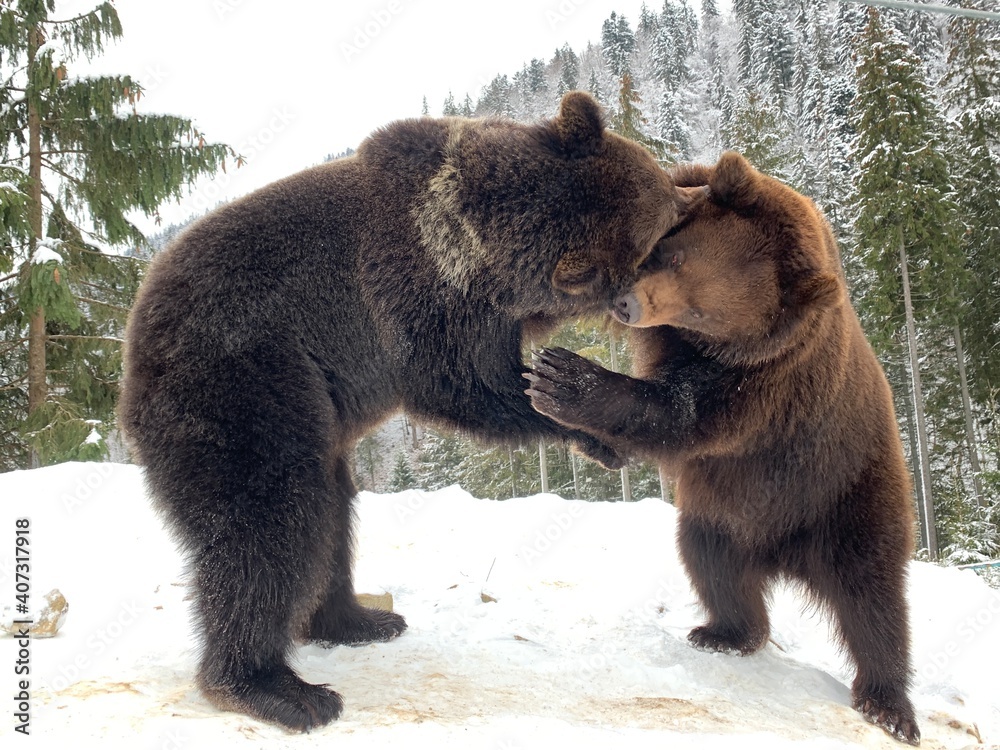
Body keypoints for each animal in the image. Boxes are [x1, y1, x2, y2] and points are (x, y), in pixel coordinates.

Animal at [118, 91, 701, 731]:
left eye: (660, 189)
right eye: (661, 227)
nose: (694, 189)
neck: (483, 253)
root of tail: (131, 347)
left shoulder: (494, 312)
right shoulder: (423, 303)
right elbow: (465, 389)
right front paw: (585, 427)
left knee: (332, 514)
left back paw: (358, 619)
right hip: (244, 387)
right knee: (269, 523)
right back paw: (278, 688)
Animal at [525, 151, 920, 745]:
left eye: (702, 311)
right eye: (673, 254)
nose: (626, 305)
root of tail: (783, 554)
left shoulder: (764, 384)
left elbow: (679, 416)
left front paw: (563, 378)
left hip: (847, 494)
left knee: (873, 598)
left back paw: (889, 704)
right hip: (721, 516)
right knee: (711, 563)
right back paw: (726, 632)